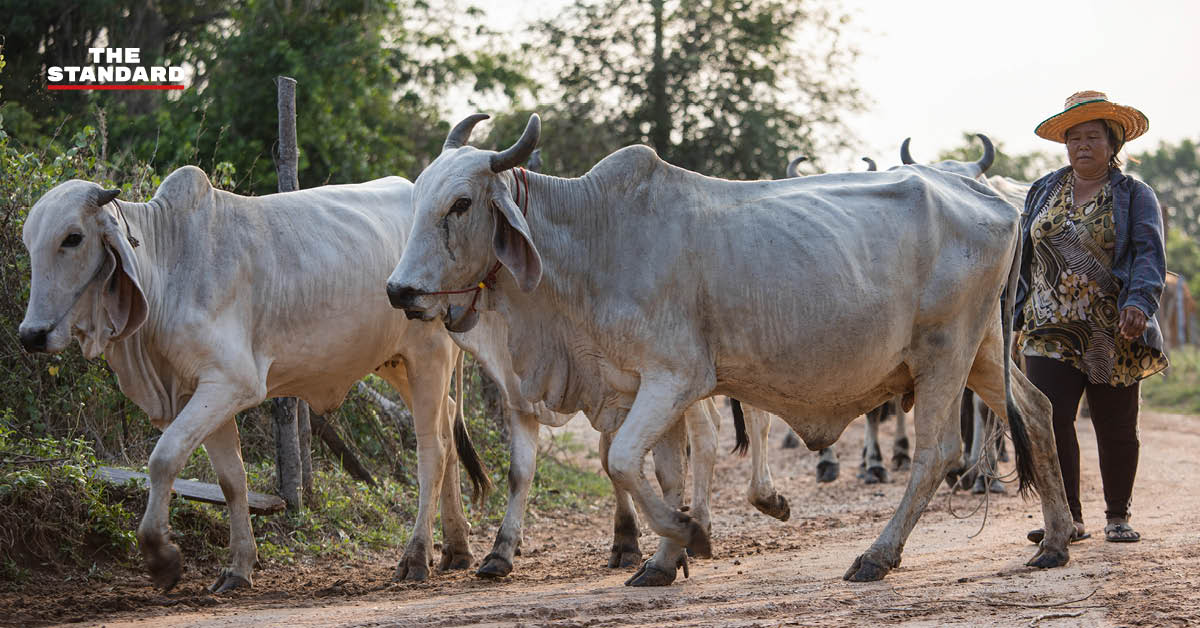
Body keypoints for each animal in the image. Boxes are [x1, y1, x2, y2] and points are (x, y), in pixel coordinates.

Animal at [18, 169, 492, 593]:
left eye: (72, 238)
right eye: (28, 243)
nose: (31, 335)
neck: (167, 267)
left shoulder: (231, 383)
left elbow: (163, 459)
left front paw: (161, 557)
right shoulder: (199, 392)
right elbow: (231, 481)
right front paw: (238, 568)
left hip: (429, 356)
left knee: (432, 451)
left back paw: (417, 556)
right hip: (397, 363)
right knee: (449, 429)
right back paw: (456, 548)